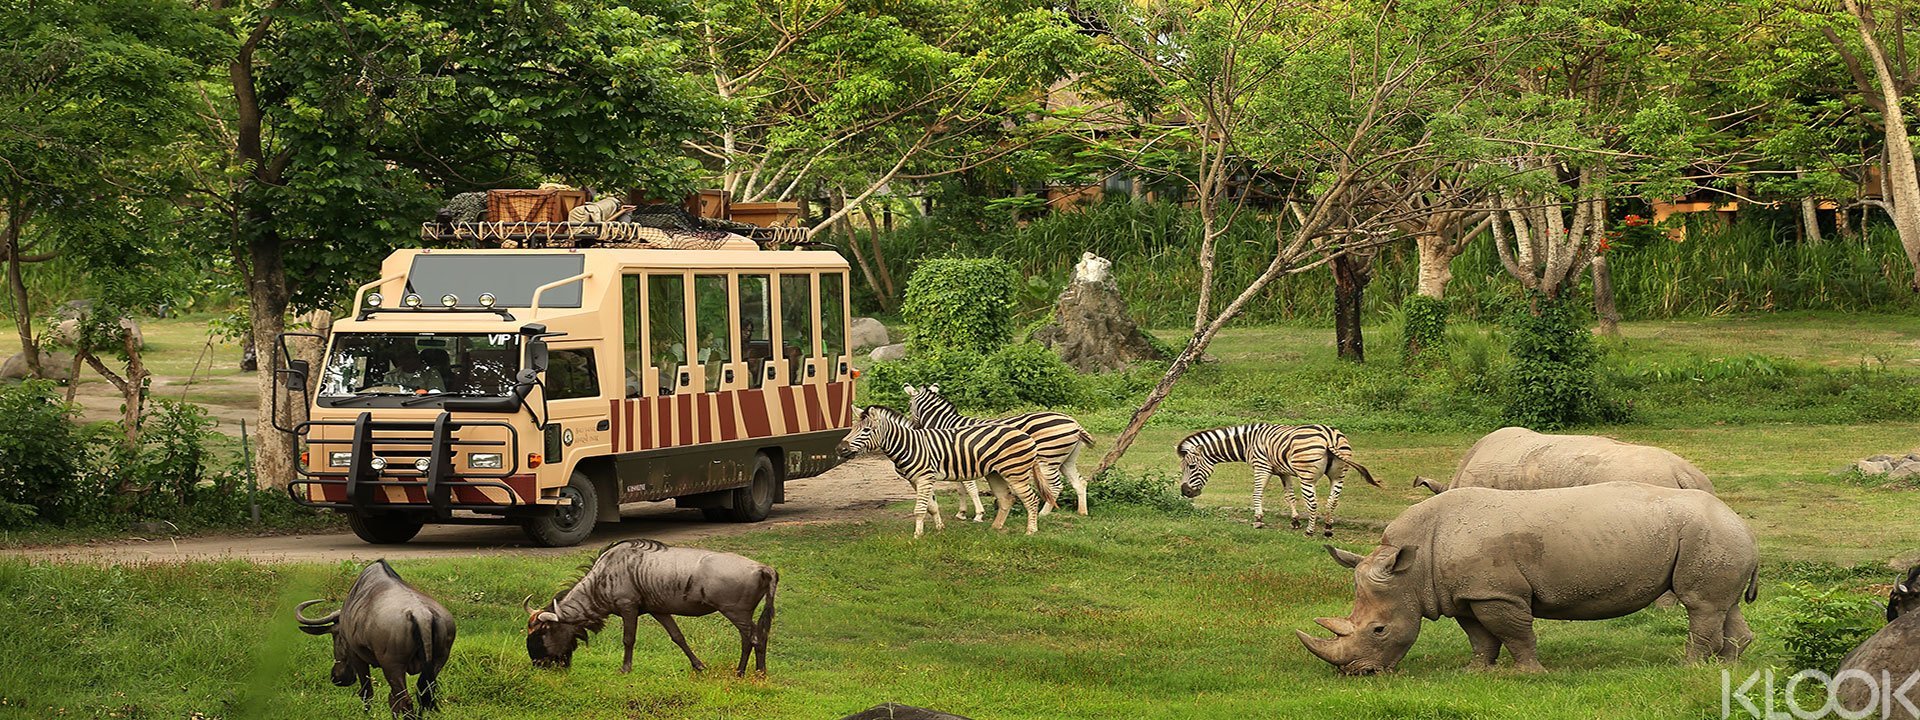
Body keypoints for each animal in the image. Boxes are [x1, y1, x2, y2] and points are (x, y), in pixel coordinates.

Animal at [833, 403, 1059, 537]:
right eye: (852, 428)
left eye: (866, 430)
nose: (840, 449)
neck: (908, 445)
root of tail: (1026, 435)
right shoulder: (916, 480)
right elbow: (932, 506)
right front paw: (939, 529)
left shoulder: (924, 478)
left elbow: (919, 509)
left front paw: (917, 536)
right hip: (995, 473)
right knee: (1006, 499)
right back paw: (995, 528)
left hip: (1015, 472)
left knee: (1031, 499)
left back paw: (1031, 531)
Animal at [902, 385, 1098, 522]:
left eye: (909, 405)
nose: (914, 426)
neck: (948, 424)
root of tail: (1074, 422)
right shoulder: (956, 461)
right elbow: (960, 489)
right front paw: (962, 513)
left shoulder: (964, 459)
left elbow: (970, 488)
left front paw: (978, 515)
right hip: (1066, 460)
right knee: (1079, 483)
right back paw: (1082, 512)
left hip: (1047, 460)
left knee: (1055, 486)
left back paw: (1043, 513)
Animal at [1167, 426, 1382, 537]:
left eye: (1191, 467)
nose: (1185, 492)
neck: (1248, 443)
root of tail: (1329, 437)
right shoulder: (1283, 472)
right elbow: (1290, 496)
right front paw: (1294, 521)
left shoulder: (1262, 466)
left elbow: (1257, 493)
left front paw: (1258, 519)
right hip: (1339, 474)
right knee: (1333, 501)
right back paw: (1328, 529)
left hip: (1307, 476)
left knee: (1313, 503)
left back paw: (1310, 531)